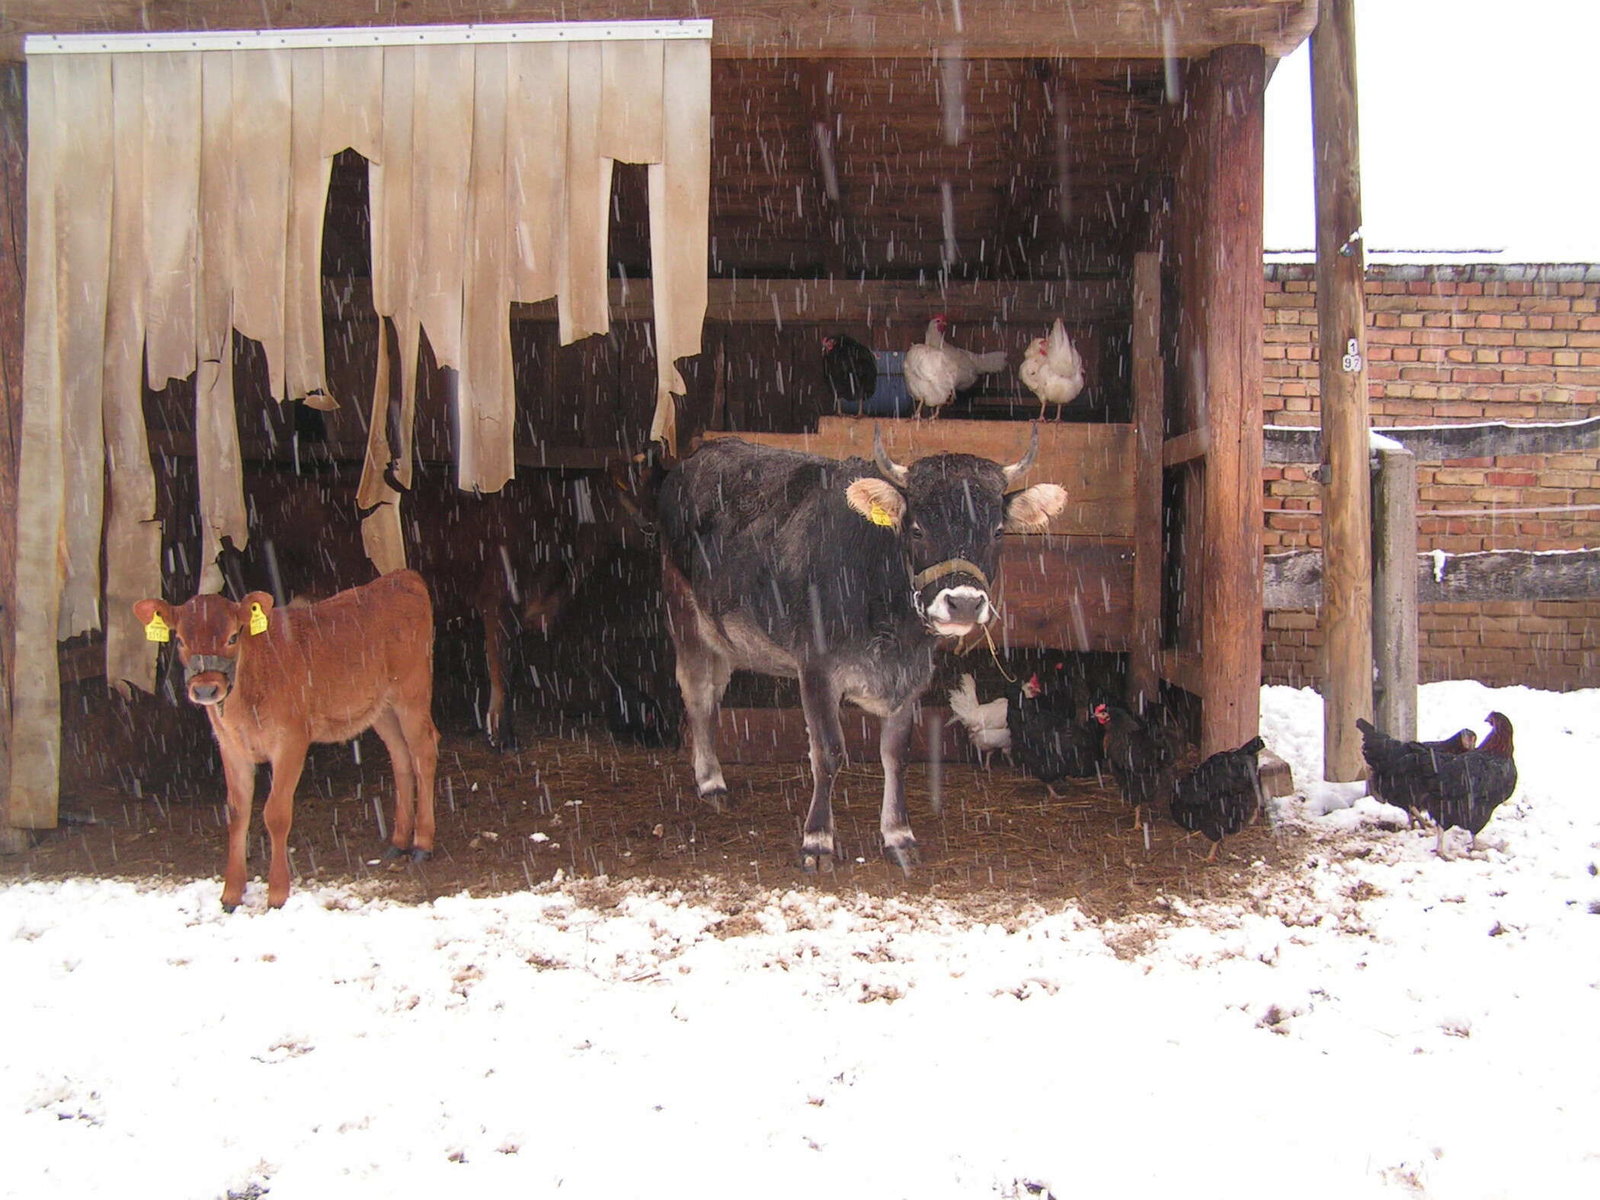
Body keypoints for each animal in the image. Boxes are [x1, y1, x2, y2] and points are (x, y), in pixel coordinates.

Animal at [133, 572, 438, 908]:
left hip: (411, 692)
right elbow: (237, 812)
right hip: (378, 708)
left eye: (233, 637)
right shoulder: (230, 746)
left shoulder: (292, 740)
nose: (205, 689)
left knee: (424, 750)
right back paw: (399, 840)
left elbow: (276, 813)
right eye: (181, 640)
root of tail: (402, 577)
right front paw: (231, 894)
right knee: (401, 756)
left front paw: (277, 893)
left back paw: (423, 843)